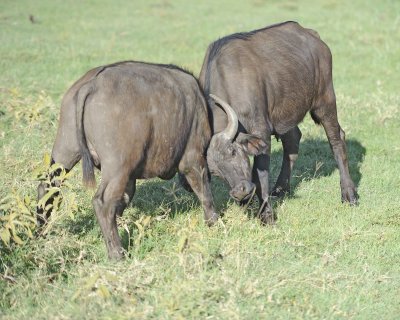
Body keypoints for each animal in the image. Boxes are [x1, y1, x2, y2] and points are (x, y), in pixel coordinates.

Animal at [39, 60, 255, 260]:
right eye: (234, 151)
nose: (245, 189)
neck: (203, 112)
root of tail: (91, 85)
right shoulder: (193, 160)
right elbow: (205, 193)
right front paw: (213, 222)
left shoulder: (131, 178)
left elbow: (124, 200)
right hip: (117, 167)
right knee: (102, 202)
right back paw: (117, 253)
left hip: (65, 153)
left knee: (47, 188)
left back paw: (41, 231)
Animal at [198, 21, 358, 224]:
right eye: (214, 171)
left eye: (233, 151)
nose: (239, 192)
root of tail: (313, 36)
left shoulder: (262, 132)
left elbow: (260, 176)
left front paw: (266, 215)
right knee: (293, 140)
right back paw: (280, 189)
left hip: (325, 100)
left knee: (337, 139)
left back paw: (349, 194)